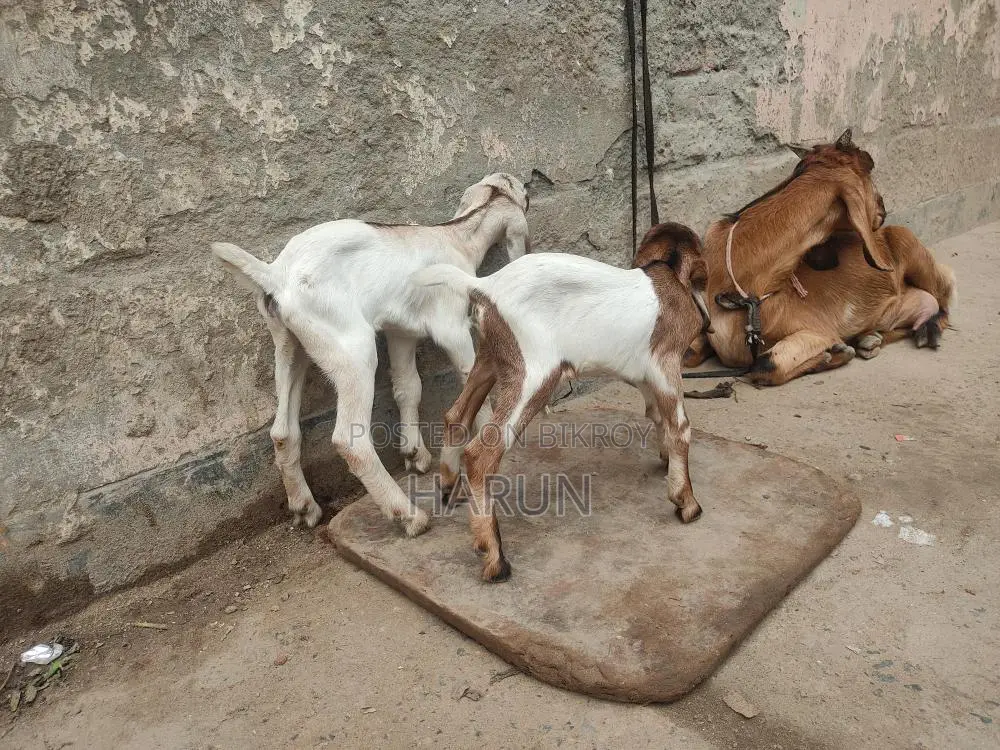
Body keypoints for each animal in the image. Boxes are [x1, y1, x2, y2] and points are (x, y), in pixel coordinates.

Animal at [209, 173, 530, 535]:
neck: (456, 237)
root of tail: (275, 275)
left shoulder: (401, 330)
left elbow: (408, 387)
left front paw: (414, 453)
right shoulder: (452, 326)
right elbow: (472, 381)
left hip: (289, 342)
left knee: (282, 431)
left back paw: (304, 506)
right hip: (350, 349)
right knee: (350, 440)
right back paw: (407, 515)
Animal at [412, 222, 710, 582]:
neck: (669, 281)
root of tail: (484, 287)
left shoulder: (644, 375)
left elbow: (656, 414)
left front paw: (665, 460)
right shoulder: (664, 364)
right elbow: (680, 425)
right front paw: (687, 502)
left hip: (490, 359)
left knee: (457, 414)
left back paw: (449, 488)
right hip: (534, 373)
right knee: (482, 452)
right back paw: (495, 558)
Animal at [685, 128, 955, 386]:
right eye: (868, 172)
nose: (883, 208)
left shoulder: (817, 329)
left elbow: (764, 365)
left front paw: (833, 353)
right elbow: (688, 354)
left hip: (910, 246)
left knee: (944, 295)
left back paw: (926, 332)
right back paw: (869, 339)